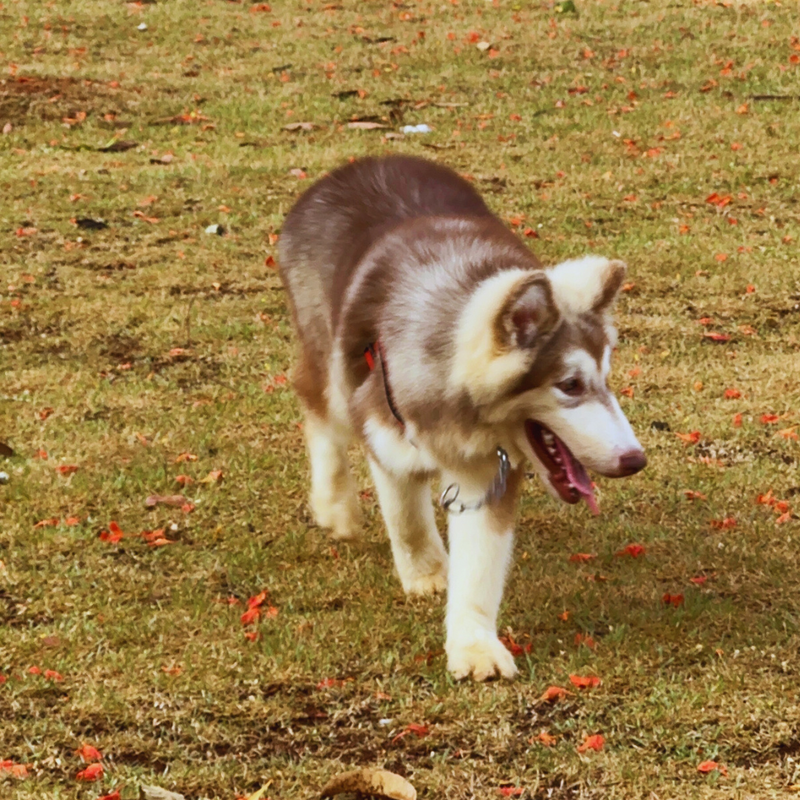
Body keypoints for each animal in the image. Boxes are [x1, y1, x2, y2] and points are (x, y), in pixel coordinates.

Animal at [278, 156, 648, 680]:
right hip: (329, 361)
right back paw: (336, 505)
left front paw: (473, 644)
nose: (636, 460)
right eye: (571, 385)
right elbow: (407, 520)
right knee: (318, 409)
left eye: (606, 379)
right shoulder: (387, 439)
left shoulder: (486, 477)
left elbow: (479, 567)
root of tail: (363, 162)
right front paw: (428, 574)